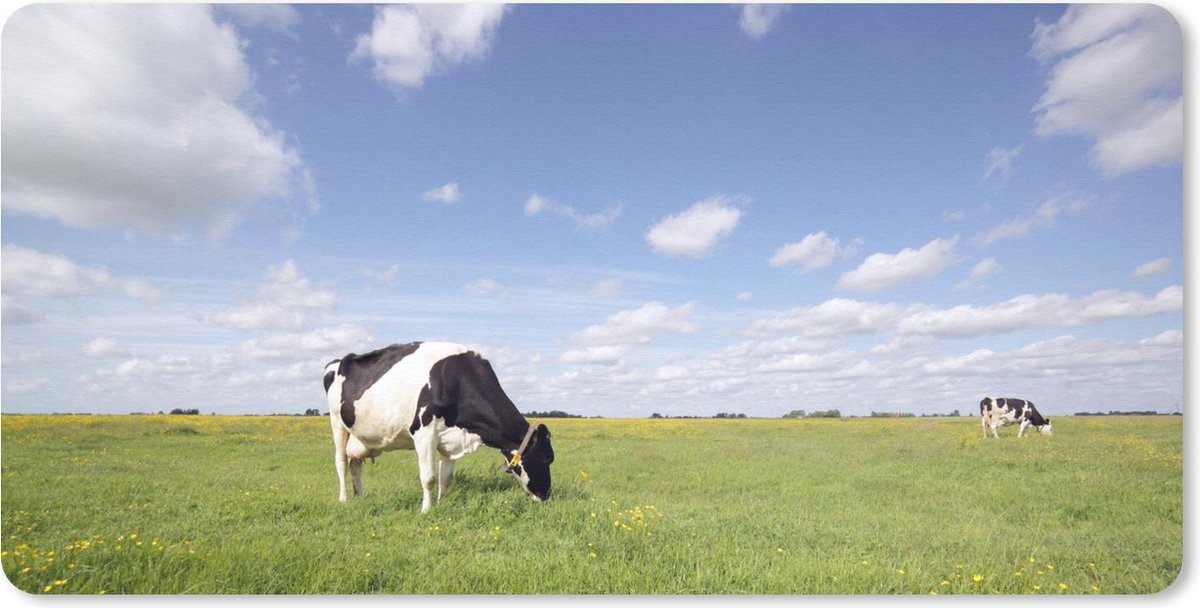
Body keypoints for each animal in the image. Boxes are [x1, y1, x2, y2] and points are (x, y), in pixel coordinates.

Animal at [323, 341, 554, 513]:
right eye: (546, 458)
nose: (546, 495)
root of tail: (337, 361)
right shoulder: (423, 432)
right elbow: (429, 477)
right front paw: (426, 510)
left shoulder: (451, 438)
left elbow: (446, 477)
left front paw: (442, 502)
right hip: (337, 422)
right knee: (341, 462)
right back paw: (344, 498)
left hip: (358, 435)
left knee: (355, 465)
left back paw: (359, 496)